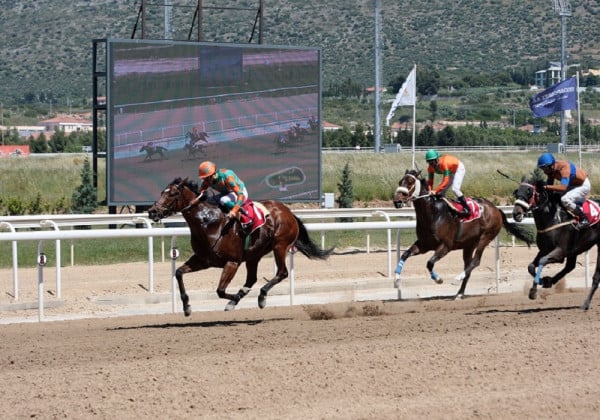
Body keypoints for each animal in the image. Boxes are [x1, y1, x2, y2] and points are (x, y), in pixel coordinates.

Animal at [146, 176, 332, 316]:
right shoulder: (203, 260)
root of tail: (288, 211)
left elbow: (220, 290)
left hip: (280, 245)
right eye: (162, 192)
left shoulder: (232, 262)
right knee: (252, 279)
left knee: (282, 272)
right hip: (253, 254)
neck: (208, 222)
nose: (152, 211)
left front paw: (233, 299)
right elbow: (178, 273)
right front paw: (186, 307)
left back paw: (261, 297)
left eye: (173, 194)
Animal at [396, 168, 532, 298]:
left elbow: (429, 263)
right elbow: (404, 255)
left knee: (475, 261)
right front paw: (396, 279)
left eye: (410, 182)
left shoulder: (445, 246)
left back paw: (457, 279)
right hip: (469, 245)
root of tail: (496, 209)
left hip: (485, 237)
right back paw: (460, 293)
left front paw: (438, 279)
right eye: (400, 182)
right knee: (469, 266)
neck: (433, 214)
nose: (397, 201)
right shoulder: (424, 244)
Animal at [510, 176, 600, 310]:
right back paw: (551, 281)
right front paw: (541, 284)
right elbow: (531, 266)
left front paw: (538, 285)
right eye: (516, 192)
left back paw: (585, 304)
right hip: (574, 250)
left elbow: (542, 261)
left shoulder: (560, 251)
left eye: (529, 192)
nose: (516, 214)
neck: (552, 218)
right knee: (570, 266)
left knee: (595, 276)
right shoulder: (544, 250)